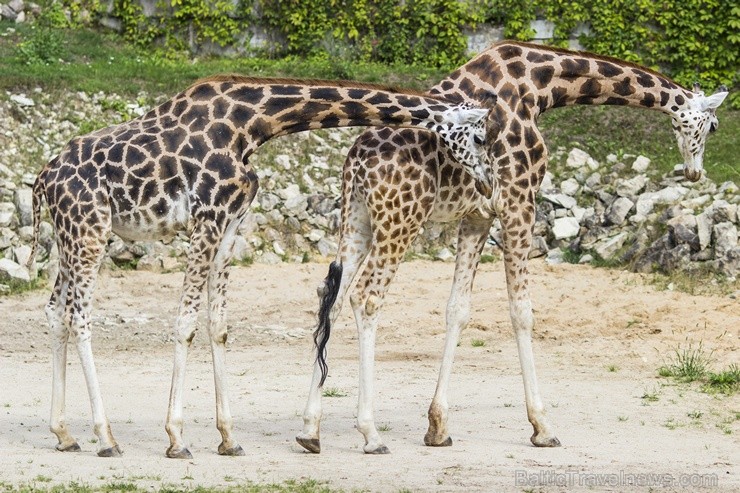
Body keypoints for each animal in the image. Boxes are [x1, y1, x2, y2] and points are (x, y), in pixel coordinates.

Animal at [26, 75, 500, 460]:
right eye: (479, 138)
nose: (489, 184)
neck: (252, 126)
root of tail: (43, 179)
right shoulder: (208, 217)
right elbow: (185, 322)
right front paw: (176, 439)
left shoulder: (230, 221)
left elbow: (218, 324)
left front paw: (228, 438)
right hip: (89, 230)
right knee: (80, 317)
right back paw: (105, 438)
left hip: (71, 236)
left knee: (55, 312)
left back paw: (65, 434)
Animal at [294, 42, 728, 454]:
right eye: (713, 126)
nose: (695, 172)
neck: (541, 87)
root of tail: (355, 165)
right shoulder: (520, 200)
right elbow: (522, 312)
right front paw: (542, 427)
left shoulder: (477, 215)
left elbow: (457, 310)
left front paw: (438, 427)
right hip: (401, 219)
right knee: (366, 298)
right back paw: (370, 433)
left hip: (358, 222)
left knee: (331, 299)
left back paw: (310, 430)